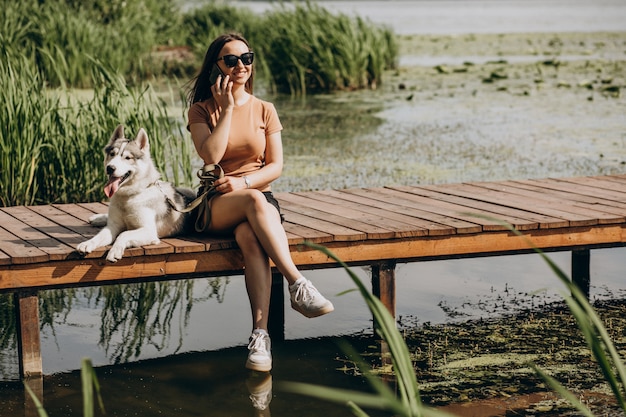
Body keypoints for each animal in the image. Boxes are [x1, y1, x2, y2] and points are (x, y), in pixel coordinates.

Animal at [77, 123, 195, 262]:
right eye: (112, 154)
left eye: (127, 158)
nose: (110, 168)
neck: (129, 196)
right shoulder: (113, 227)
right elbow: (100, 236)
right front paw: (88, 243)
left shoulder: (149, 232)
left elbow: (124, 234)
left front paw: (115, 250)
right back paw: (98, 218)